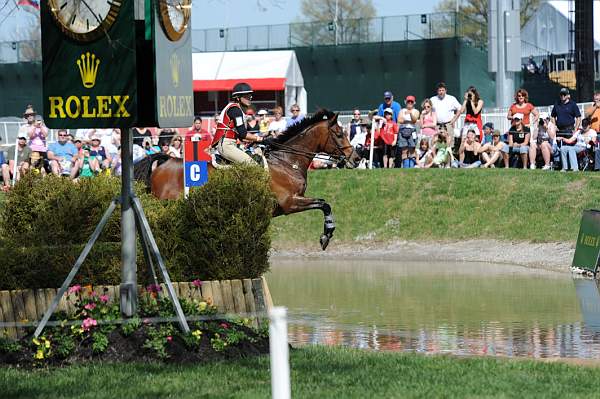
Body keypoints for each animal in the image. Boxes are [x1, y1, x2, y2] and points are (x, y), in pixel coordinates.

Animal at [135, 109, 360, 250]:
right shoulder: (290, 203)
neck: (287, 162)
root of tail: (164, 161)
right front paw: (326, 235)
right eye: (339, 134)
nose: (357, 159)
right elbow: (324, 204)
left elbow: (324, 203)